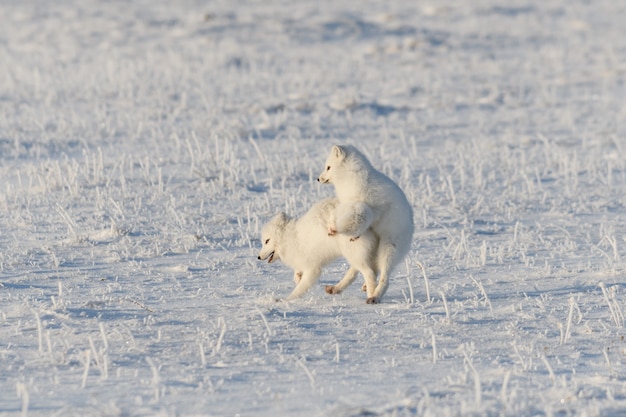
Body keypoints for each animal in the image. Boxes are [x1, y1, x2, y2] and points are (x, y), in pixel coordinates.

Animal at [316, 145, 414, 304]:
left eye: (328, 167)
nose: (318, 178)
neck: (351, 178)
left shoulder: (368, 208)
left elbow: (361, 220)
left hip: (389, 247)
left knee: (383, 276)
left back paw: (374, 296)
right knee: (361, 270)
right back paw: (338, 288)